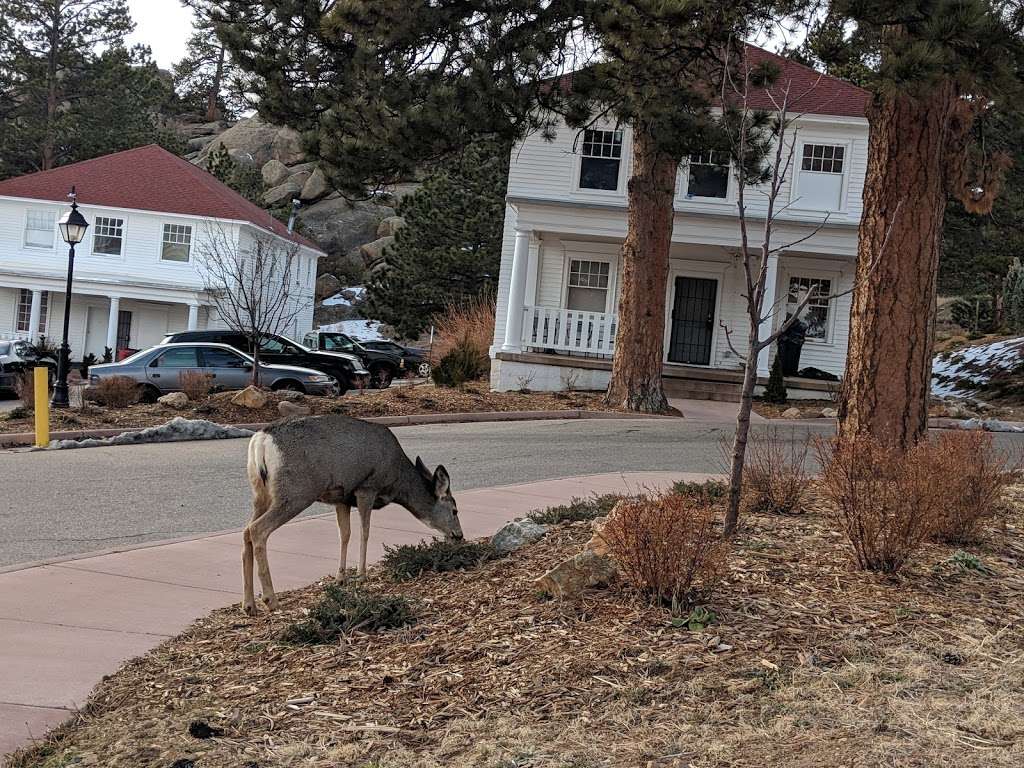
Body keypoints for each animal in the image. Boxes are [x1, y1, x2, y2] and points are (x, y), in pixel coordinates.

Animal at [241, 411, 462, 618]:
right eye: (454, 510)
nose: (459, 535)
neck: (397, 480)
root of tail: (261, 440)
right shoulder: (367, 487)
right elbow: (365, 532)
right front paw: (361, 575)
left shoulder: (342, 498)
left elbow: (344, 534)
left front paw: (341, 578)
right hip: (295, 491)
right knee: (258, 529)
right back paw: (270, 600)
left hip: (260, 492)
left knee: (246, 532)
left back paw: (249, 604)